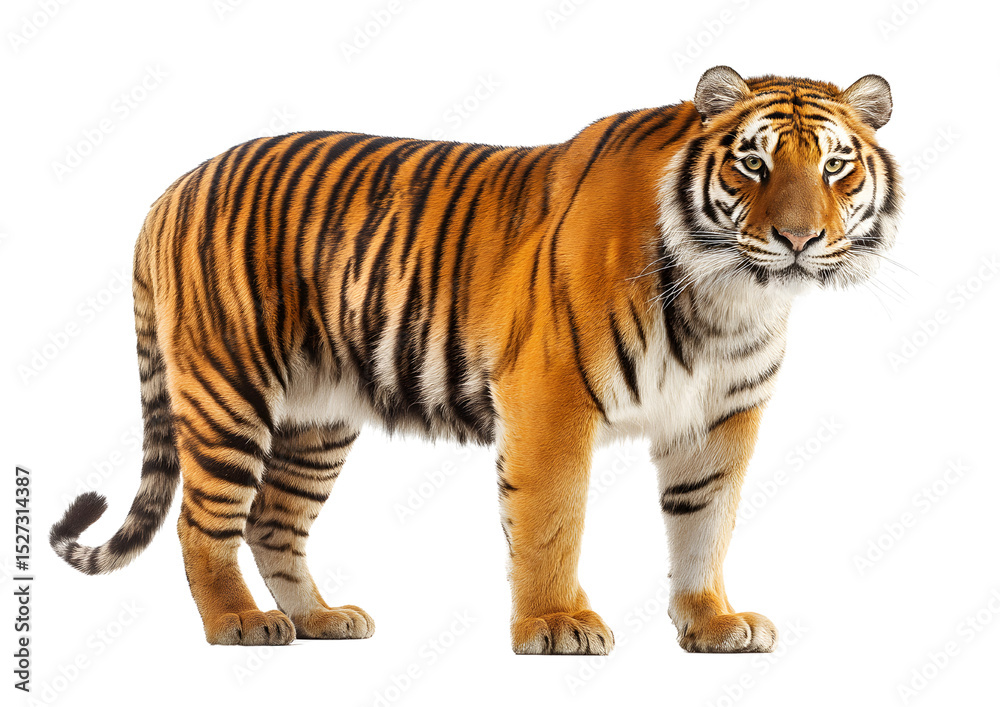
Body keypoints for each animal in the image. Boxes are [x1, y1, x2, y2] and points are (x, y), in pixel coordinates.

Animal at [50, 65, 901, 654]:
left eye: (836, 167)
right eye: (753, 165)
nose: (799, 239)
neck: (731, 296)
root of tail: (170, 190)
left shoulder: (720, 419)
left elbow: (705, 525)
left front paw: (714, 622)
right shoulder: (551, 398)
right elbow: (551, 520)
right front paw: (556, 623)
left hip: (316, 417)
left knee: (273, 520)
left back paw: (320, 618)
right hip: (229, 390)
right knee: (204, 522)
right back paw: (239, 621)